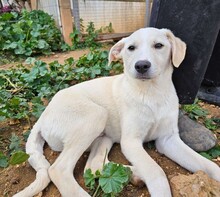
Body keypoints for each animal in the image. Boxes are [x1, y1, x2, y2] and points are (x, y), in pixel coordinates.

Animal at [14, 28, 220, 197]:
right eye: (131, 48)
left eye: (159, 45)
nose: (141, 65)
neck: (152, 94)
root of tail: (42, 117)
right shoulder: (131, 142)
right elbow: (157, 171)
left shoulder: (168, 139)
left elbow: (207, 164)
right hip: (95, 116)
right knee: (59, 169)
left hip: (103, 136)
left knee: (93, 165)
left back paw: (132, 174)